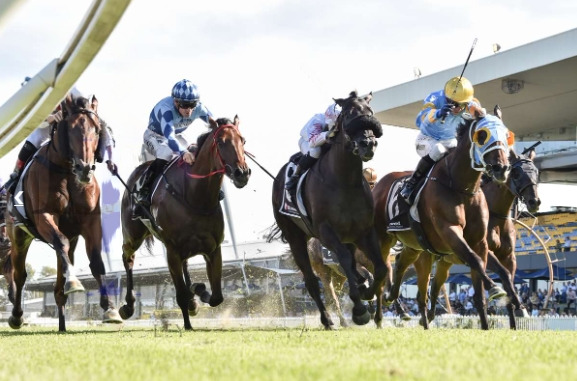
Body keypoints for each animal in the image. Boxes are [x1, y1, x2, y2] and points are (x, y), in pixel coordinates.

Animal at [2, 94, 121, 330]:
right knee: (19, 275)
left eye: (96, 130)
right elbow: (60, 243)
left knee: (59, 275)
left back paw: (62, 324)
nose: (84, 169)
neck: (66, 172)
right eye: (70, 129)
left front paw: (110, 308)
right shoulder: (44, 217)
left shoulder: (90, 221)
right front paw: (74, 282)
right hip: (19, 237)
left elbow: (96, 261)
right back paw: (17, 316)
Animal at [117, 116, 250, 330]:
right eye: (221, 142)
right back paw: (128, 306)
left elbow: (217, 297)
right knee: (127, 257)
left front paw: (198, 291)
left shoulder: (213, 249)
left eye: (242, 140)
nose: (242, 173)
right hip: (133, 236)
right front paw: (188, 324)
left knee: (186, 265)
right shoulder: (172, 251)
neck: (196, 196)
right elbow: (180, 294)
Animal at [270, 90, 388, 328]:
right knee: (313, 281)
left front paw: (367, 293)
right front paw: (360, 310)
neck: (345, 182)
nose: (368, 143)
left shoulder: (364, 231)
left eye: (370, 112)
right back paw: (328, 320)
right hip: (297, 239)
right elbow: (345, 261)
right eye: (350, 114)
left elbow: (380, 268)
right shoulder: (326, 232)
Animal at [374, 113, 508, 330]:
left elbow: (479, 286)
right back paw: (379, 316)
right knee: (383, 270)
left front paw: (486, 325)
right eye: (482, 135)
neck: (462, 188)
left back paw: (393, 297)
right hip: (383, 239)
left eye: (506, 134)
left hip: (415, 245)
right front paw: (495, 287)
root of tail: (377, 186)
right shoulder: (449, 231)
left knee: (401, 263)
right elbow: (474, 259)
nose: (501, 168)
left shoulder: (478, 242)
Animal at [424, 147, 540, 328]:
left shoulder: (508, 256)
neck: (497, 216)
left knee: (436, 284)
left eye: (536, 171)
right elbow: (503, 274)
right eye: (516, 173)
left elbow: (508, 279)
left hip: (444, 262)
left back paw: (429, 315)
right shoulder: (486, 251)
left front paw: (517, 314)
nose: (534, 202)